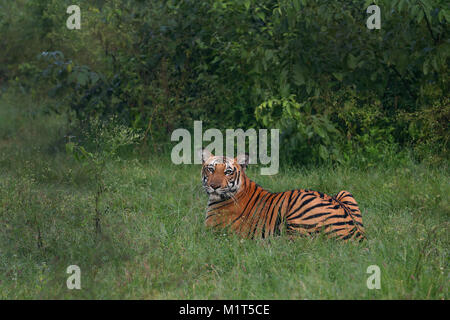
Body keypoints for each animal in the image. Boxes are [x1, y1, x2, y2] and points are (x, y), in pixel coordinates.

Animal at [200, 149, 366, 240]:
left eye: (228, 172)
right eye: (211, 169)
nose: (214, 186)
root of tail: (357, 236)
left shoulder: (212, 232)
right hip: (345, 192)